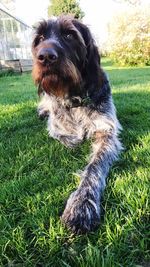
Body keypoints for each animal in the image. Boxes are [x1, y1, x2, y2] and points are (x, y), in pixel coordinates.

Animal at [31, 16, 122, 234]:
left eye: (69, 35)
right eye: (40, 39)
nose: (45, 56)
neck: (74, 98)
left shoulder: (107, 131)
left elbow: (94, 167)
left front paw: (82, 204)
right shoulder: (56, 127)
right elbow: (68, 136)